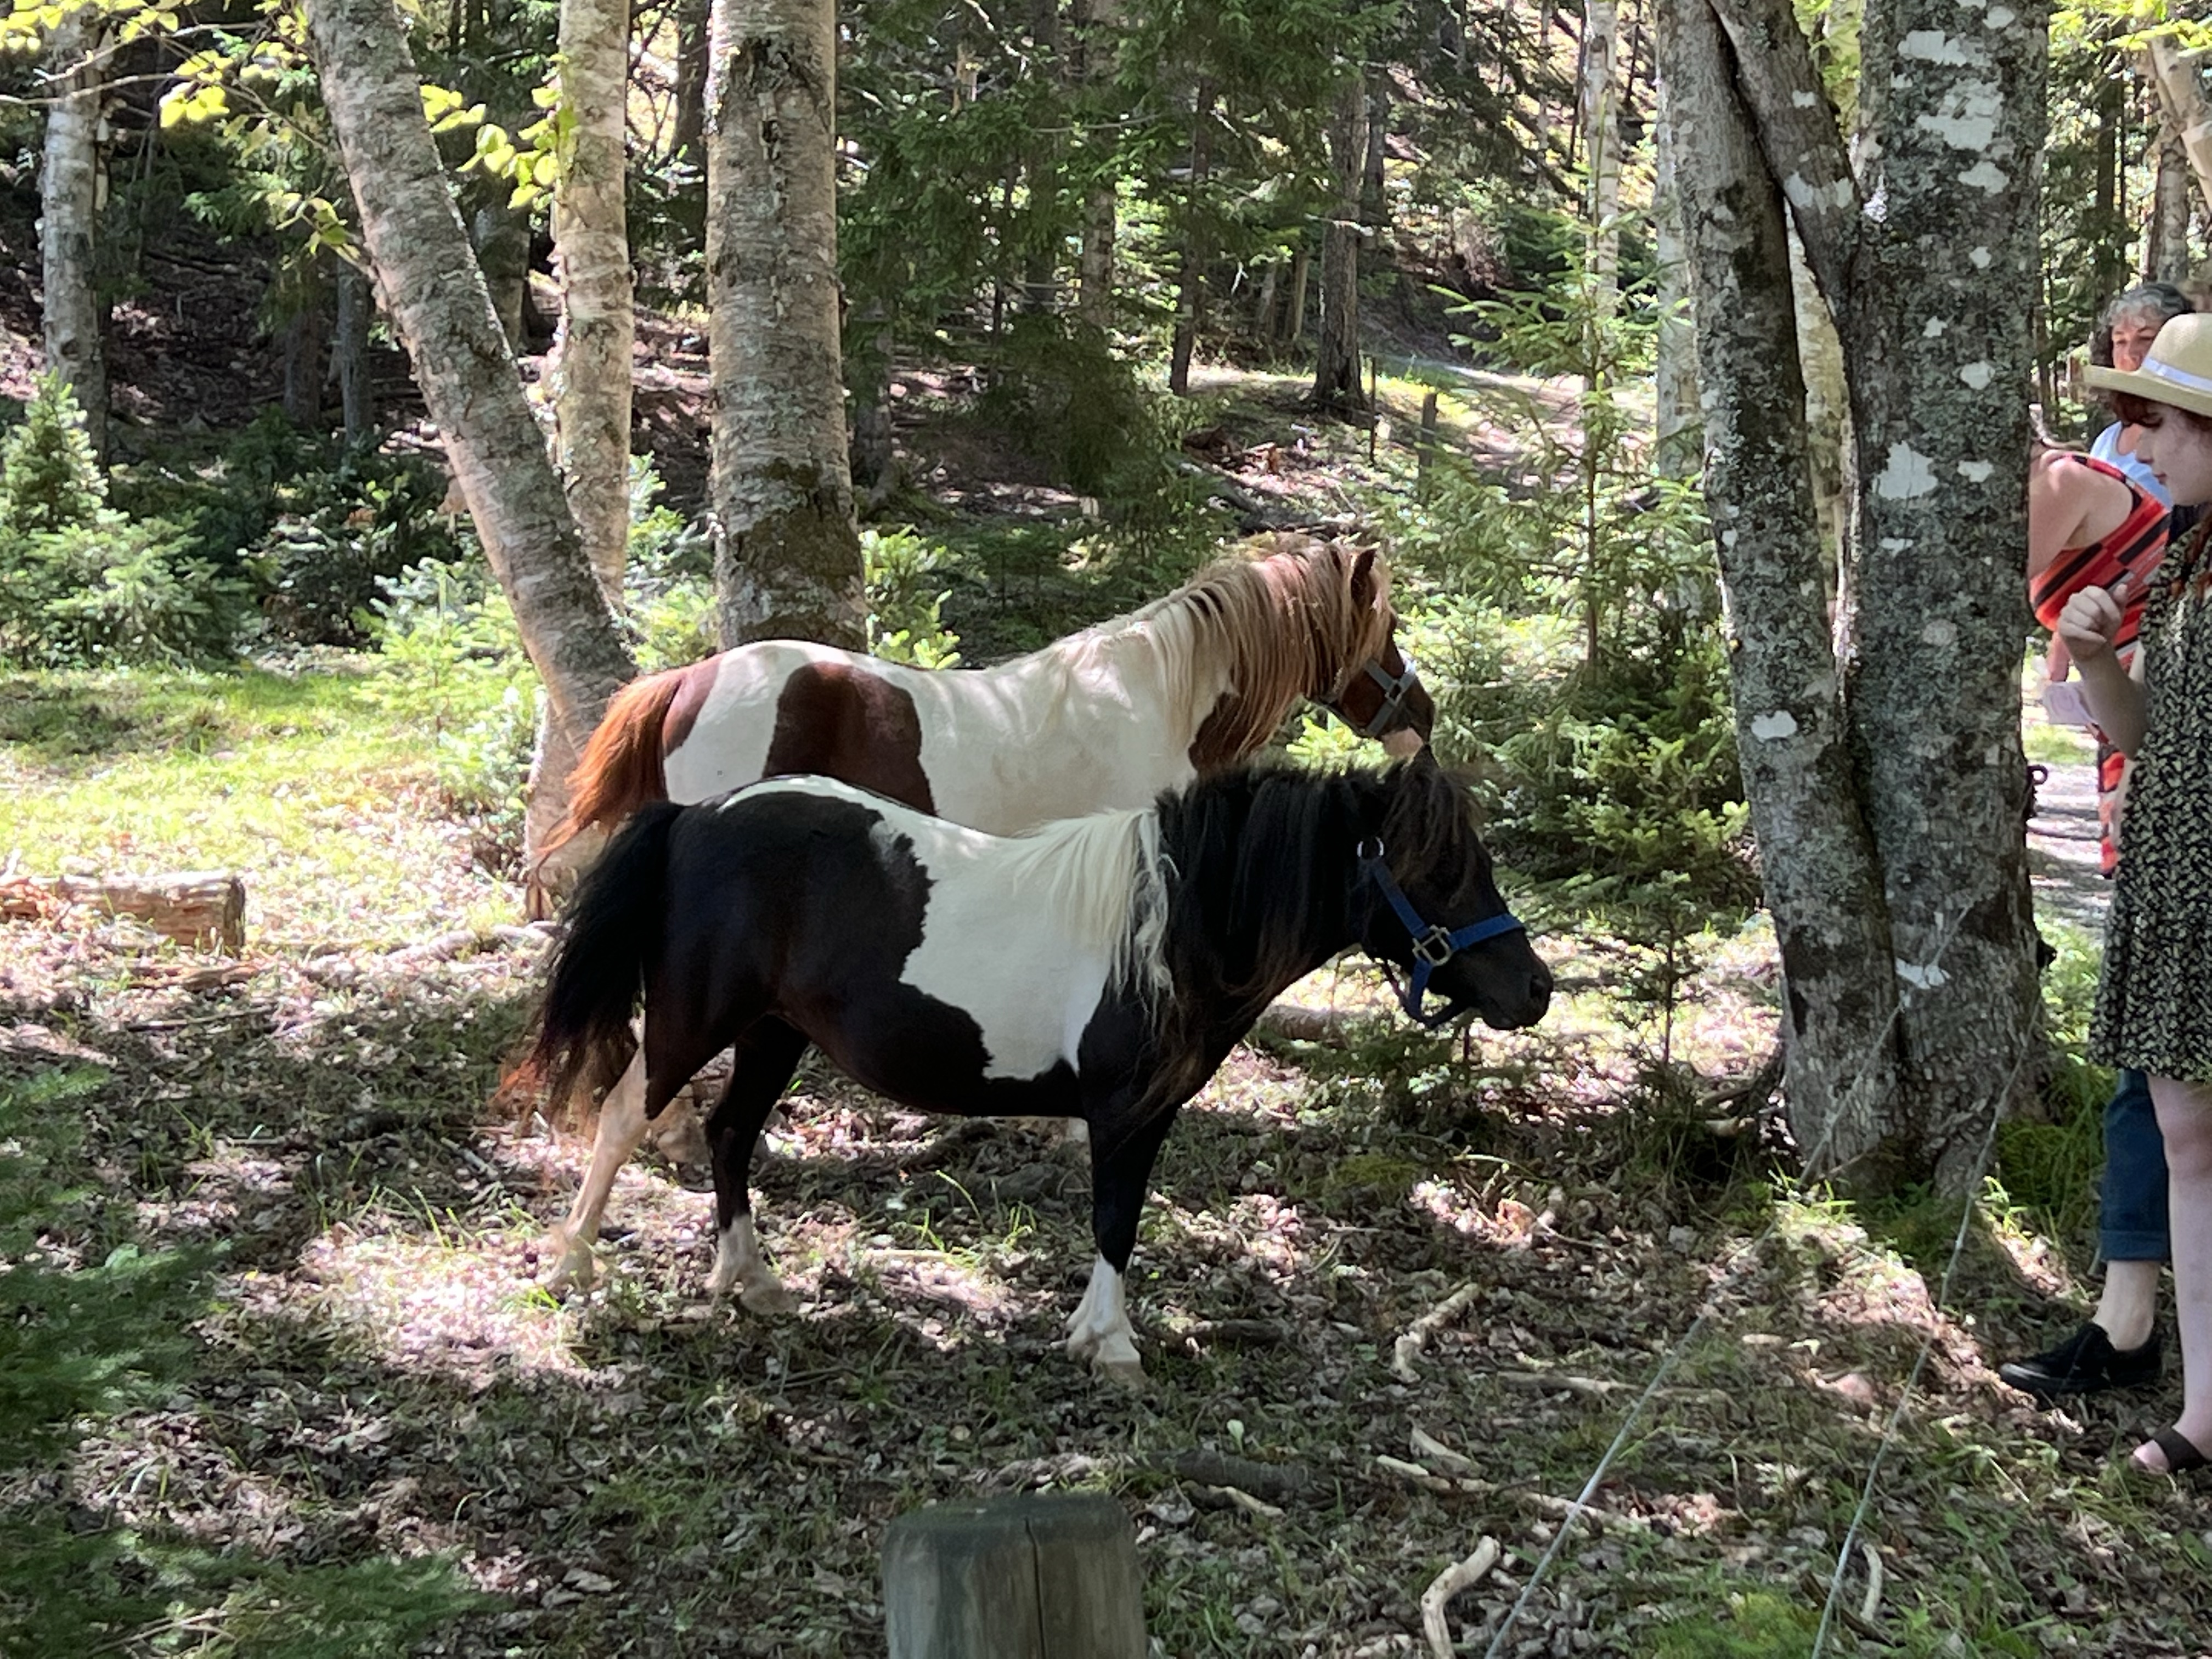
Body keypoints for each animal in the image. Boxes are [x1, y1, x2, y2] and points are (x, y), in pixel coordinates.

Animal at [523, 758, 1553, 1382]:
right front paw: (1109, 1343)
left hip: (775, 1033)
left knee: (730, 1131)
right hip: (694, 1021)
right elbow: (1115, 1222)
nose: (1535, 990)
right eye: (1442, 870)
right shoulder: (1123, 1112)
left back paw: (752, 1280)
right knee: (625, 1116)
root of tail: (696, 816)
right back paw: (573, 1263)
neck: (1170, 922)